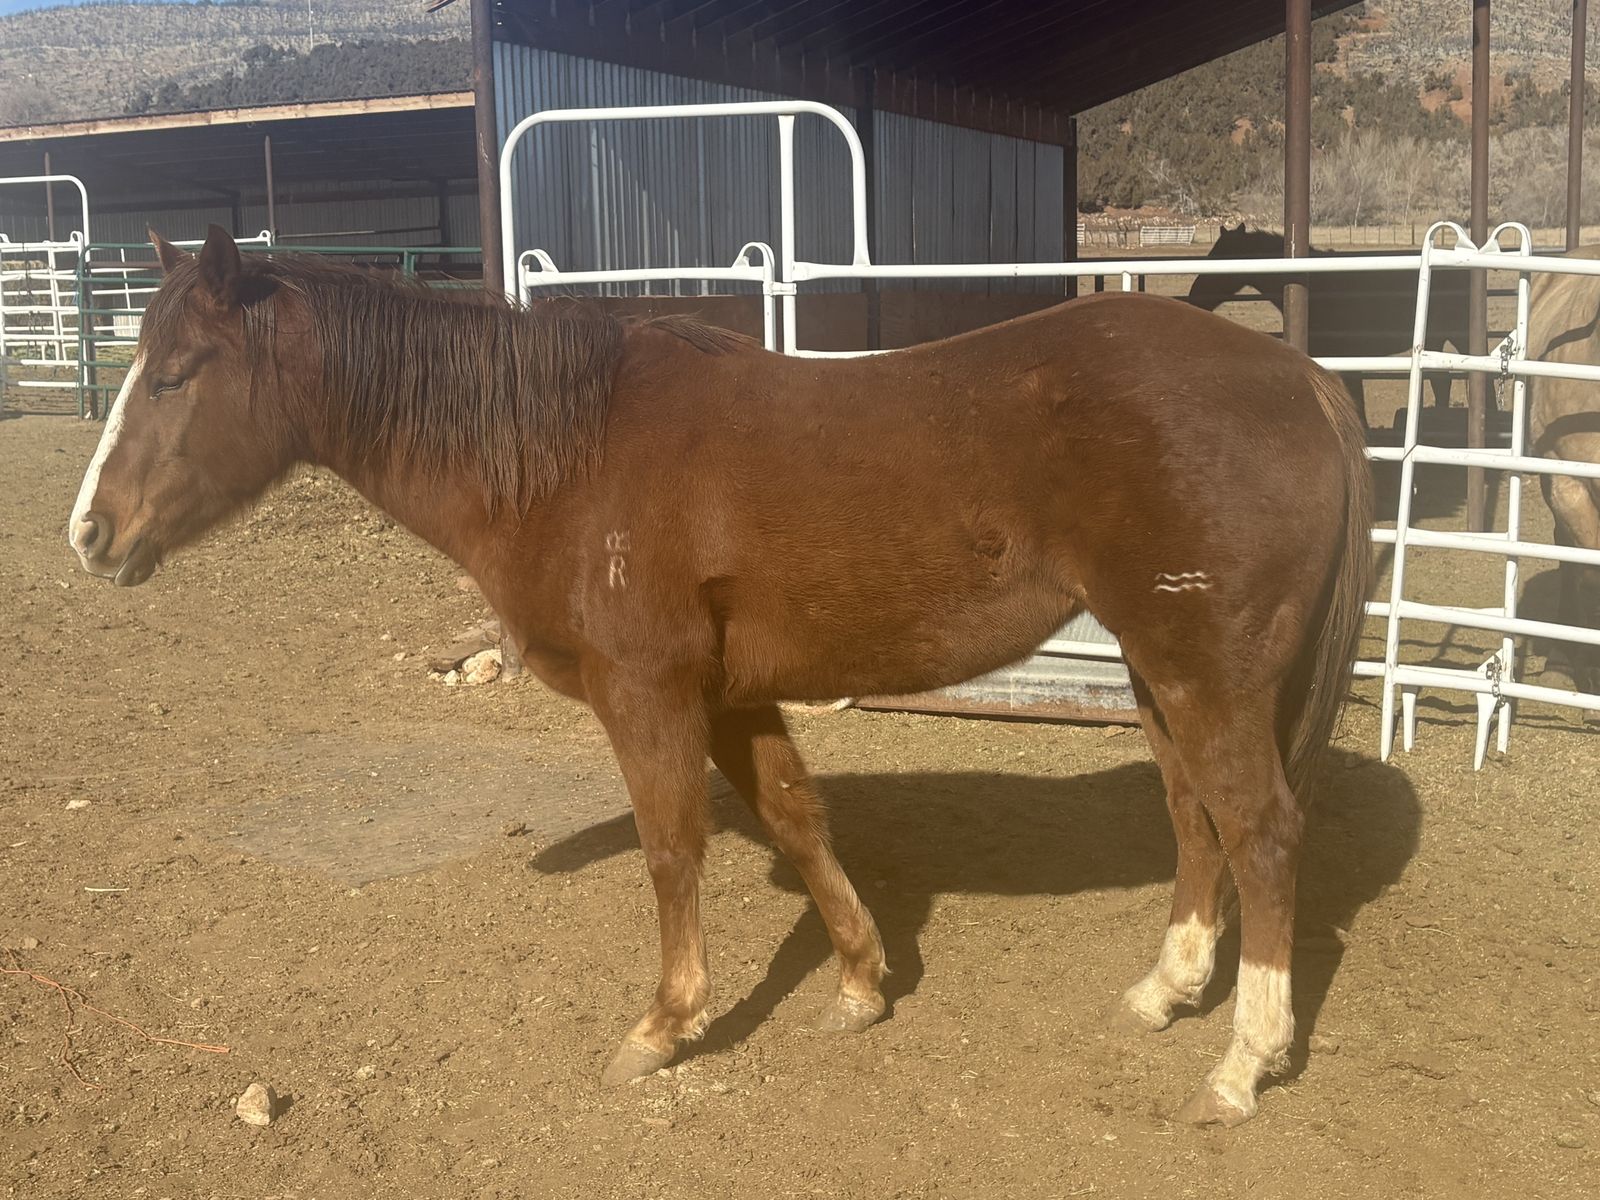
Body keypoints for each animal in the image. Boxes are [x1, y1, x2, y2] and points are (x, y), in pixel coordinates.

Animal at [67, 226, 1373, 1127]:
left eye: (177, 374)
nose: (89, 534)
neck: (565, 454)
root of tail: (1297, 376)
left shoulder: (646, 690)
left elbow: (670, 849)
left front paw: (665, 1025)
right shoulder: (735, 693)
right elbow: (796, 818)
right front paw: (861, 982)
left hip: (1204, 675)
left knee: (1258, 832)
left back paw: (1242, 1060)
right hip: (1164, 676)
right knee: (1194, 819)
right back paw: (1168, 990)